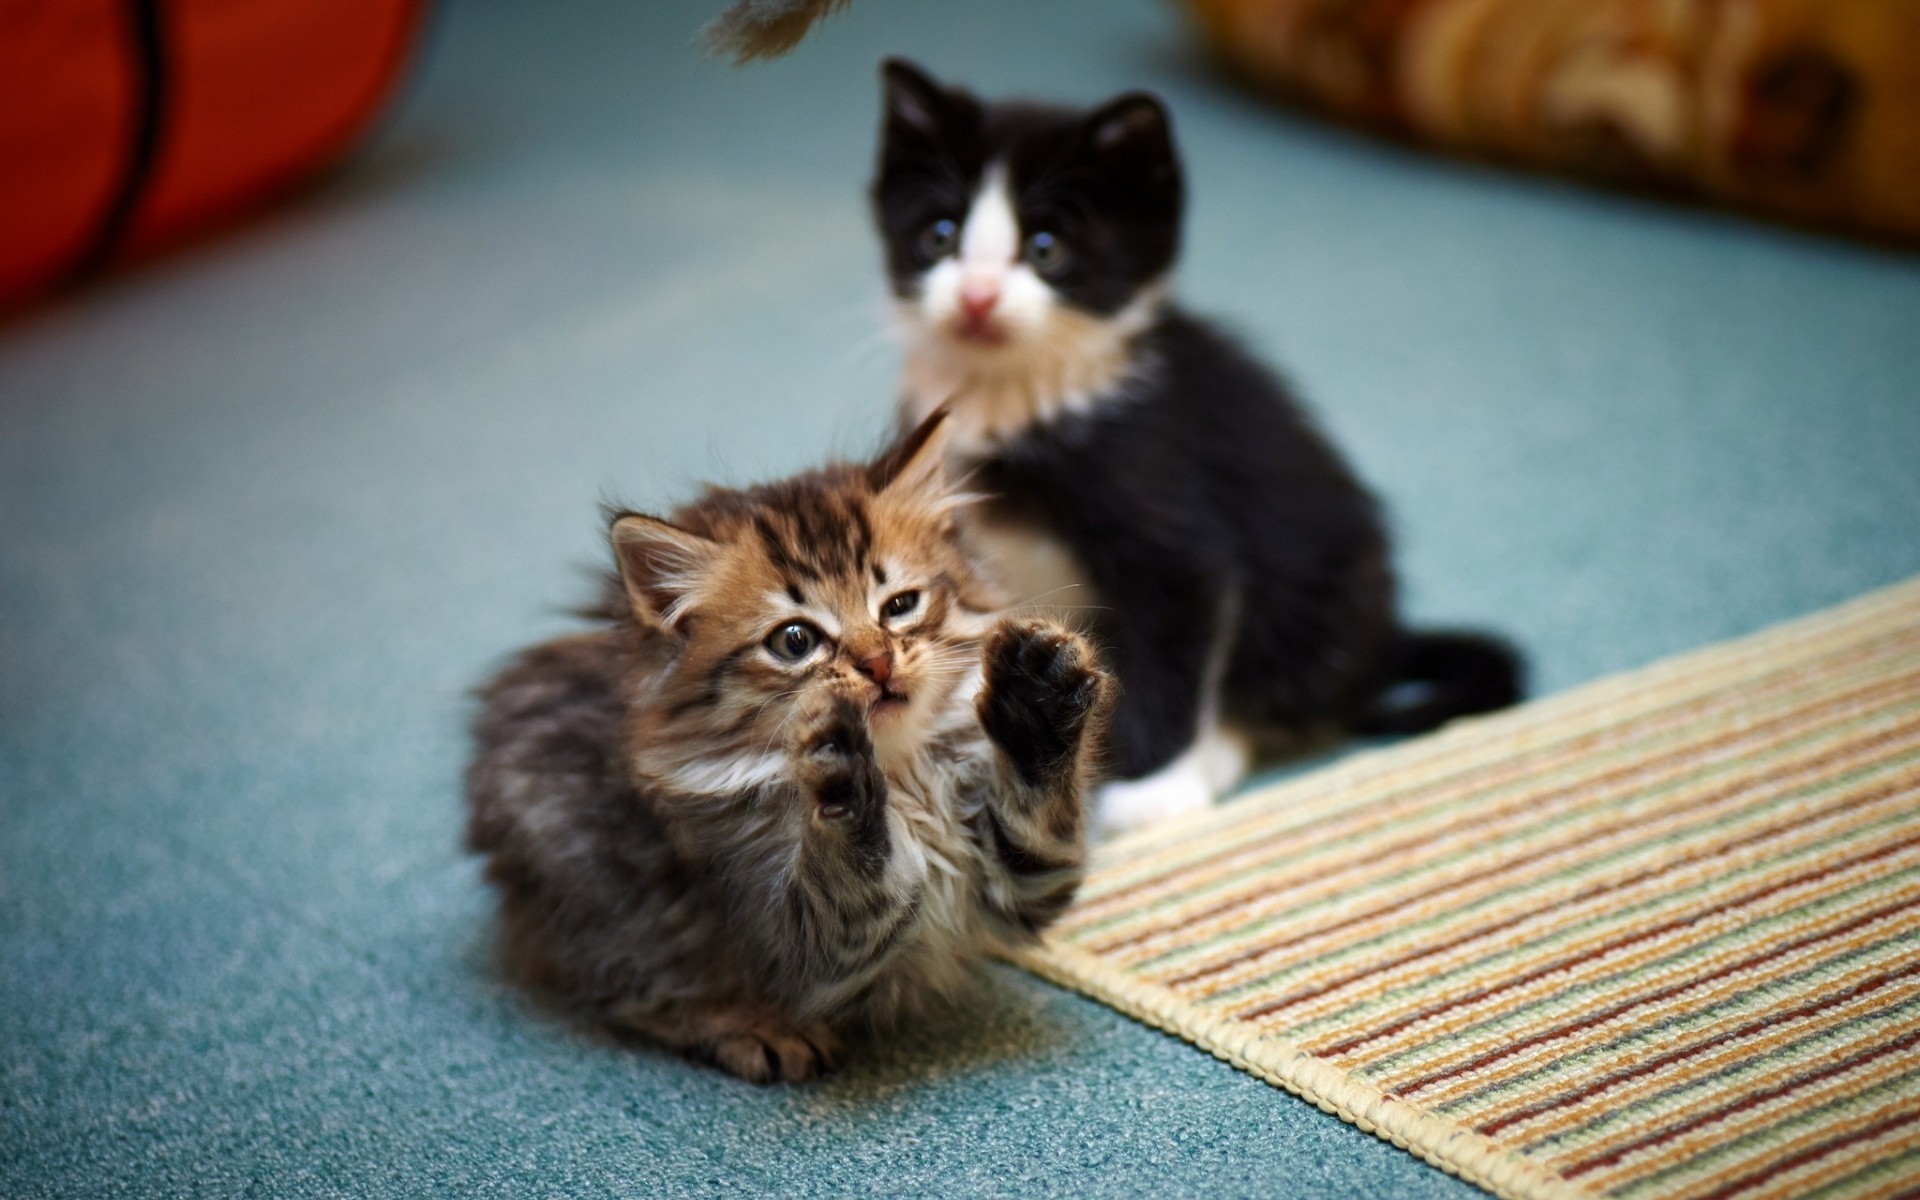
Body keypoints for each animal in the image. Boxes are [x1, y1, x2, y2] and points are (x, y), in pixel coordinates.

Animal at [462, 410, 1113, 1075]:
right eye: (796, 641)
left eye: (901, 606)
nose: (878, 664)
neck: (904, 775)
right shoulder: (796, 942)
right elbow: (853, 874)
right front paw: (841, 771)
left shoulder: (1015, 883)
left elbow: (1039, 821)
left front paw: (1036, 698)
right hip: (599, 900)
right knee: (633, 990)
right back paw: (755, 1028)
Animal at [875, 60, 1528, 829]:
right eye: (939, 235)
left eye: (1046, 249)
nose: (976, 298)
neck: (1013, 395)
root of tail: (1384, 637)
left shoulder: (1167, 509)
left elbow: (1172, 646)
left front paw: (1150, 789)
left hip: (1315, 601)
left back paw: (1213, 758)